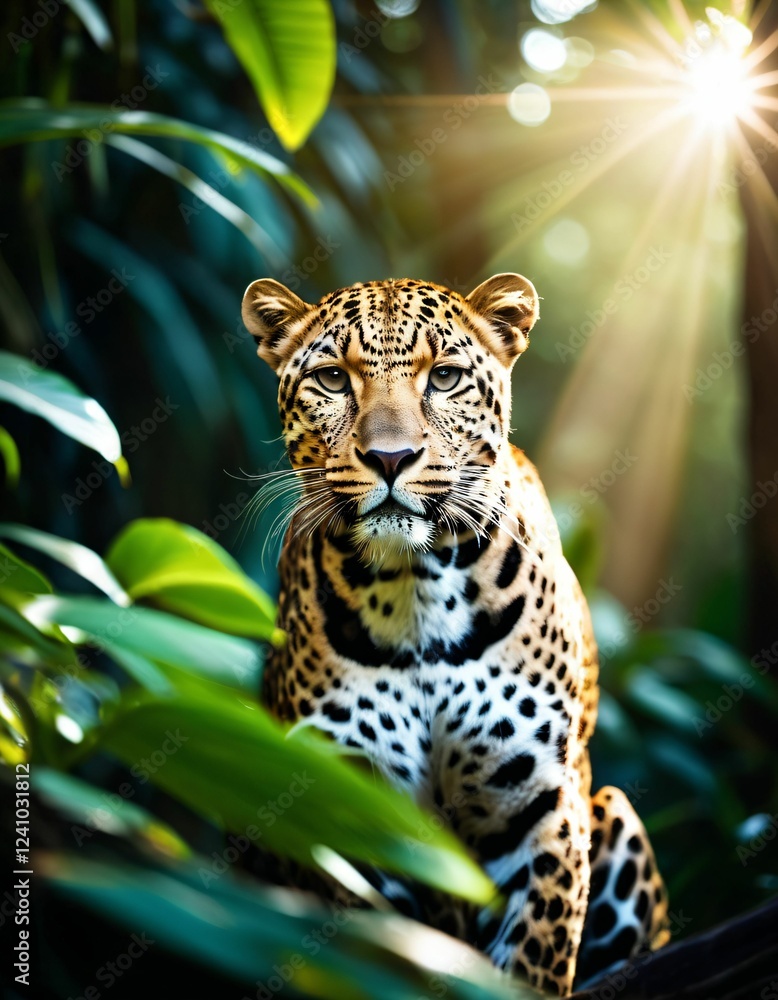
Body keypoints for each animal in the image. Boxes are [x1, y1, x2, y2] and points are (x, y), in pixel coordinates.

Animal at [241, 272, 670, 995]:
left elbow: (536, 955)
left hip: (612, 808)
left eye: (443, 377)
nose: (390, 458)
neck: (415, 587)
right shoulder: (344, 806)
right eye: (332, 378)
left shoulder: (541, 800)